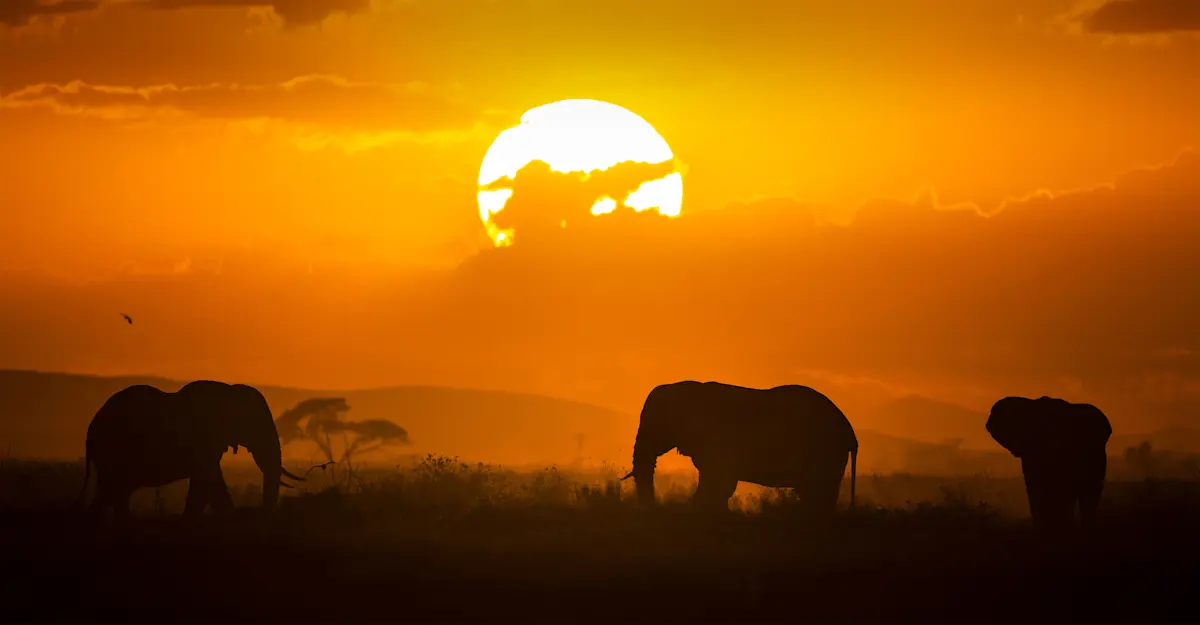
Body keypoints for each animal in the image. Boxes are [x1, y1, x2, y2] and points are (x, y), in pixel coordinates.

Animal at [82, 380, 306, 519]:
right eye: (254, 423)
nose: (261, 514)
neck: (229, 391)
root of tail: (90, 429)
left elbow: (205, 482)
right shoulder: (203, 438)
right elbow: (210, 479)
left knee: (114, 490)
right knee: (115, 488)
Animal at [621, 381, 858, 513]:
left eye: (654, 425)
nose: (653, 507)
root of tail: (850, 432)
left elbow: (717, 482)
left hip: (825, 450)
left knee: (818, 492)